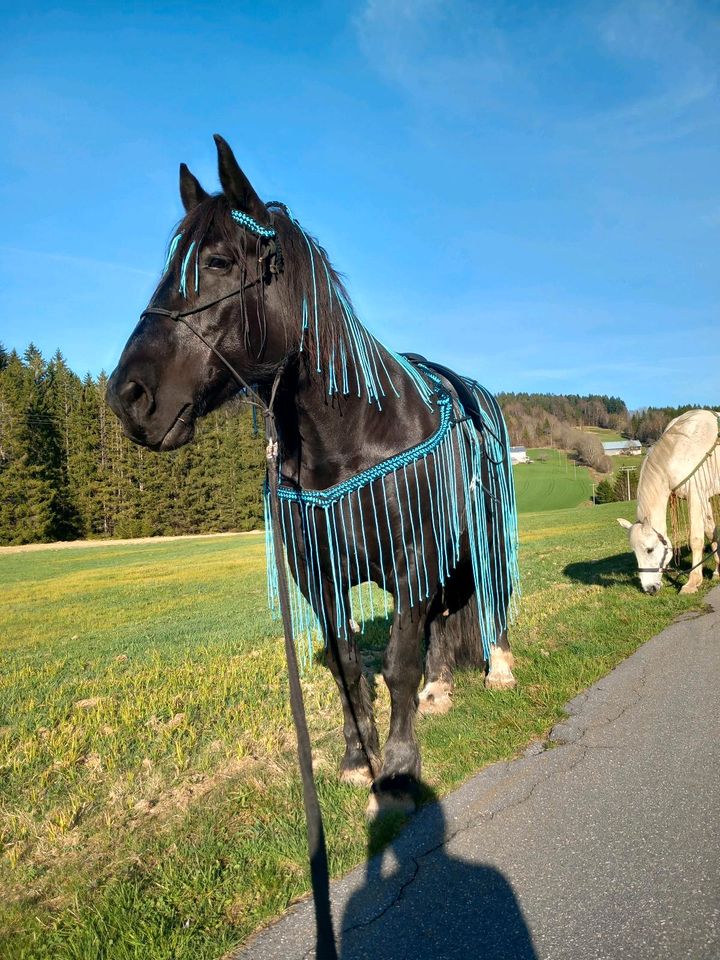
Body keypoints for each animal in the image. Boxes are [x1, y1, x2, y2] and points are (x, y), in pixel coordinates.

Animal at [107, 135, 516, 808]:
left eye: (217, 261)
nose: (127, 396)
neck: (352, 439)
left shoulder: (413, 559)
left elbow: (397, 662)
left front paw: (397, 766)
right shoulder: (319, 576)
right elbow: (349, 665)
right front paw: (356, 758)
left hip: (483, 533)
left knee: (490, 593)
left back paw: (500, 666)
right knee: (444, 617)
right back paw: (439, 688)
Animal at [620, 408, 720, 596]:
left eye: (649, 549)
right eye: (634, 552)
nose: (649, 589)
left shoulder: (696, 497)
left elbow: (696, 539)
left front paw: (693, 582)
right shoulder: (704, 498)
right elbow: (712, 532)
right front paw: (718, 571)